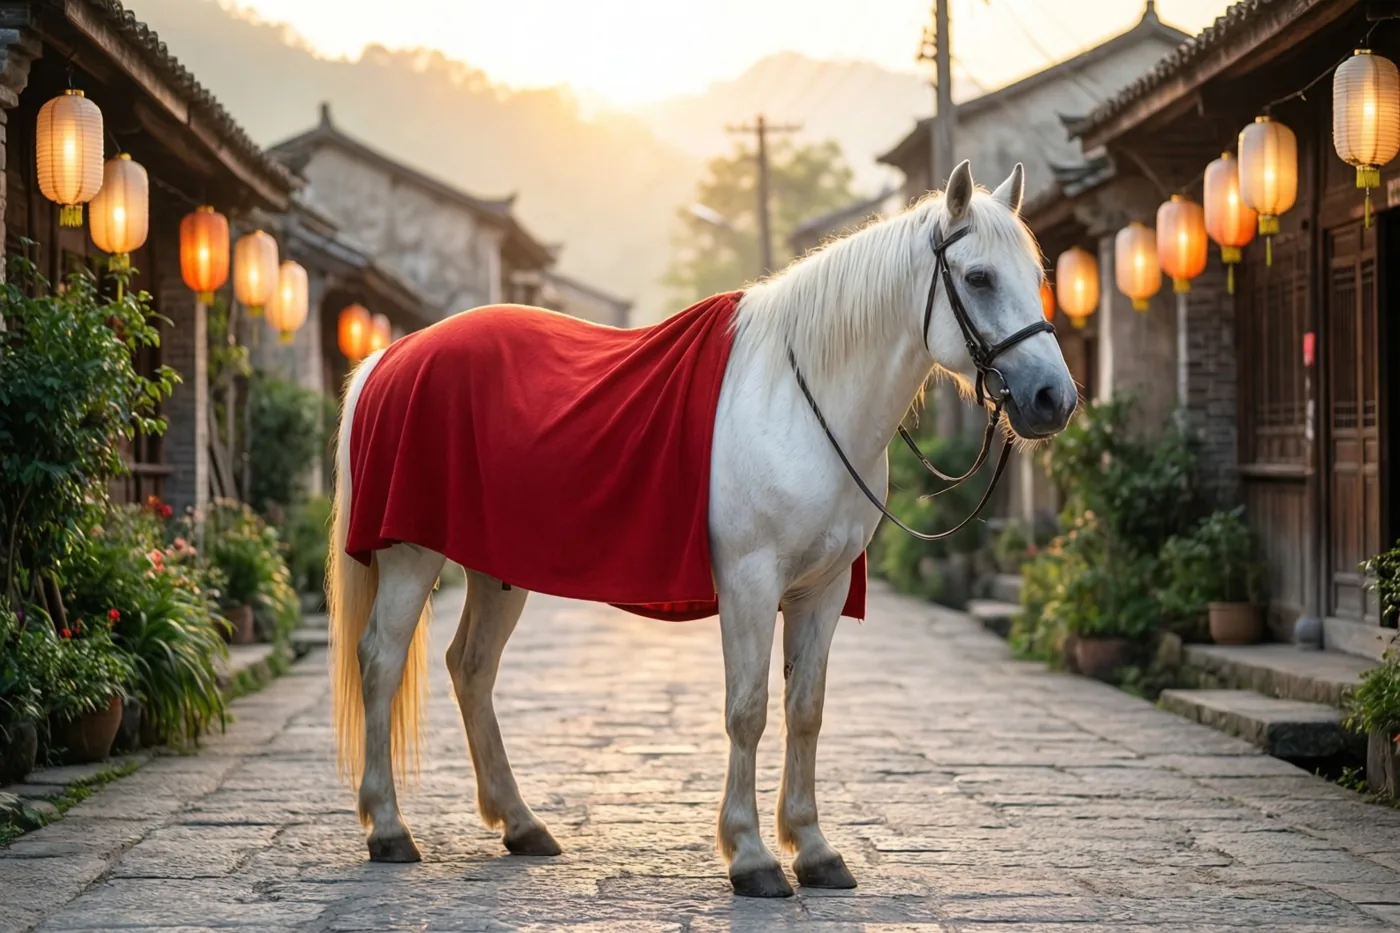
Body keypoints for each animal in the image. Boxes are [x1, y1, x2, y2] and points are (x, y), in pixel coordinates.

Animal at [324, 159, 1077, 898]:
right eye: (978, 278)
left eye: (1037, 276)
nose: (1053, 399)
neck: (799, 401)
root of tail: (390, 356)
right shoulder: (749, 583)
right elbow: (748, 709)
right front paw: (751, 856)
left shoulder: (824, 588)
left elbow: (806, 708)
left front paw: (814, 848)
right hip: (411, 556)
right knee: (382, 660)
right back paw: (389, 829)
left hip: (496, 567)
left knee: (472, 667)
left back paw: (521, 823)